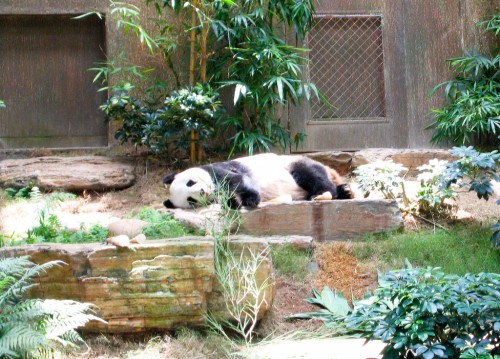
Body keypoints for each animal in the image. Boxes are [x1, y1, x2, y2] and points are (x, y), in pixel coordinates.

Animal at [162, 153, 354, 210]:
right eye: (190, 200)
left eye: (190, 182)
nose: (203, 191)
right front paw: (233, 202)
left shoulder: (217, 170)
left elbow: (237, 179)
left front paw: (250, 200)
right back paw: (345, 191)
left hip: (291, 163)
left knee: (310, 174)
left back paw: (321, 193)